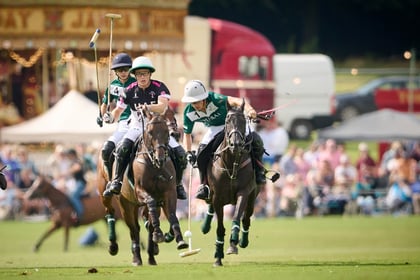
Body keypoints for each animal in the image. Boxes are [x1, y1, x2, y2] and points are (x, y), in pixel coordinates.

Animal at [200, 101, 260, 266]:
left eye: (244, 121)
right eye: (227, 121)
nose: (236, 144)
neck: (231, 163)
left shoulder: (244, 192)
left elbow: (237, 218)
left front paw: (233, 243)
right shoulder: (217, 197)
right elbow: (220, 228)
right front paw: (218, 256)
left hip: (253, 197)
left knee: (246, 219)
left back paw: (243, 241)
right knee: (210, 205)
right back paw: (205, 226)